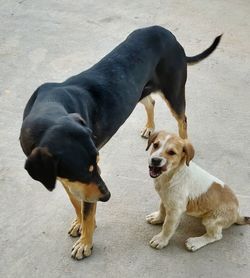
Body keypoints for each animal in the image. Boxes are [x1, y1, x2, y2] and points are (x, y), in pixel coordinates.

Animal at [20, 25, 222, 260]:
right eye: (83, 171)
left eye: (97, 163)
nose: (107, 196)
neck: (49, 107)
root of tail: (167, 33)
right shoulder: (64, 177)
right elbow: (75, 201)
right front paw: (79, 223)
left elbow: (88, 210)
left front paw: (85, 242)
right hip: (140, 91)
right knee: (150, 101)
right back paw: (150, 127)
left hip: (174, 91)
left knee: (183, 119)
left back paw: (184, 142)